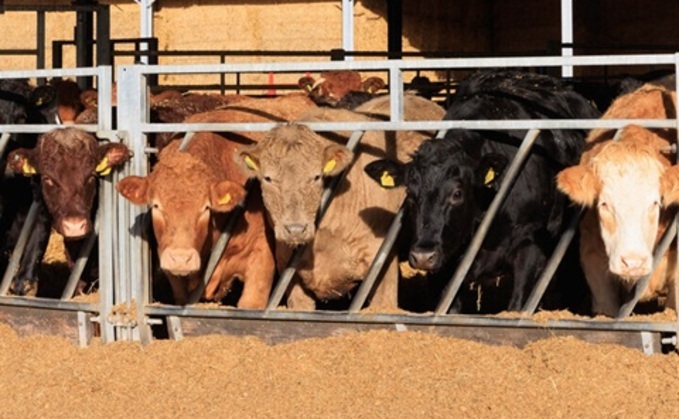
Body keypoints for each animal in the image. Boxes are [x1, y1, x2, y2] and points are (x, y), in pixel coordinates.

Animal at [364, 70, 600, 313]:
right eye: (411, 194)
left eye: (457, 193)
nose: (422, 256)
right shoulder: (443, 267)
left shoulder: (529, 247)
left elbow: (516, 305)